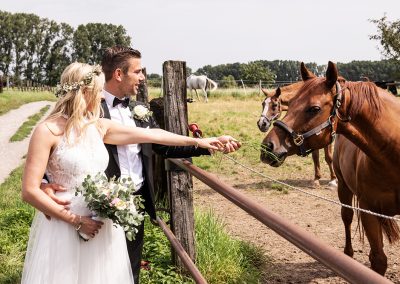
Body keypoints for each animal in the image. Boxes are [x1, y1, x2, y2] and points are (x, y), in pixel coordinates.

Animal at [260, 60, 398, 276]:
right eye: (290, 104)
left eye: (314, 108)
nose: (268, 147)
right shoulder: (368, 211)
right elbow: (378, 260)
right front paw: (317, 179)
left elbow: (325, 156)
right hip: (345, 191)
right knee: (347, 218)